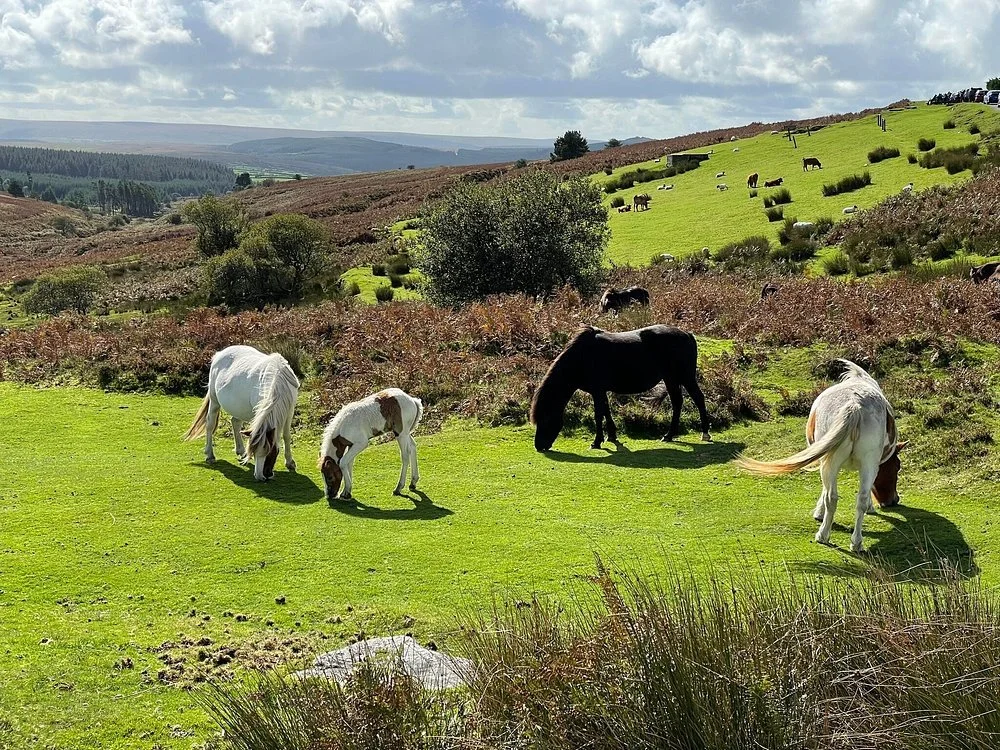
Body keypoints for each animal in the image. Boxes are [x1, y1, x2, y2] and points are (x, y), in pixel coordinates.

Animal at [184, 345, 300, 481]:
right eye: (255, 452)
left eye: (270, 451)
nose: (260, 476)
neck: (277, 381)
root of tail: (219, 354)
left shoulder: (289, 411)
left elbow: (286, 436)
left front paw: (290, 462)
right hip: (214, 400)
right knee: (210, 424)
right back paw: (210, 455)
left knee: (235, 422)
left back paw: (240, 451)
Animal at [530, 325, 711, 451]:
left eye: (545, 420)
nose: (539, 446)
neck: (582, 357)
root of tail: (687, 334)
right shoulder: (600, 391)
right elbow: (606, 411)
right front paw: (611, 436)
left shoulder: (597, 391)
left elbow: (598, 415)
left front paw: (596, 442)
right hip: (670, 379)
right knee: (677, 402)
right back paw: (669, 435)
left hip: (685, 377)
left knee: (698, 398)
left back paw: (705, 433)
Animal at [734, 360, 905, 553]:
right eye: (897, 467)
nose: (893, 500)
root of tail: (855, 404)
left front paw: (819, 513)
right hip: (864, 462)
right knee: (856, 498)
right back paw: (856, 543)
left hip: (832, 462)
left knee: (832, 497)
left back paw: (823, 535)